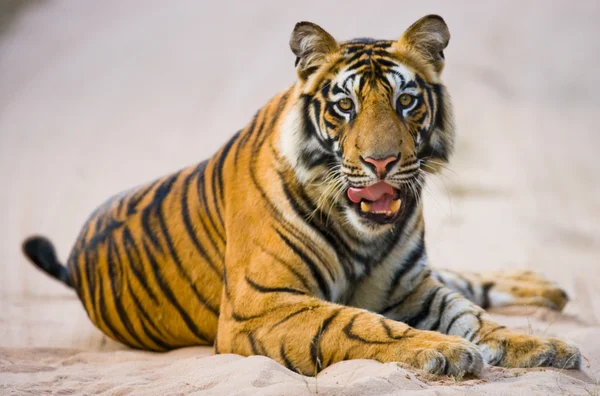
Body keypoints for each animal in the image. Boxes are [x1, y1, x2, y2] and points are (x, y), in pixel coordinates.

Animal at [23, 15, 580, 378]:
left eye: (406, 101)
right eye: (345, 106)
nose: (381, 162)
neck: (364, 236)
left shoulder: (413, 287)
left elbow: (471, 316)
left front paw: (537, 343)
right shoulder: (261, 305)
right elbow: (357, 322)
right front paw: (444, 349)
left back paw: (545, 287)